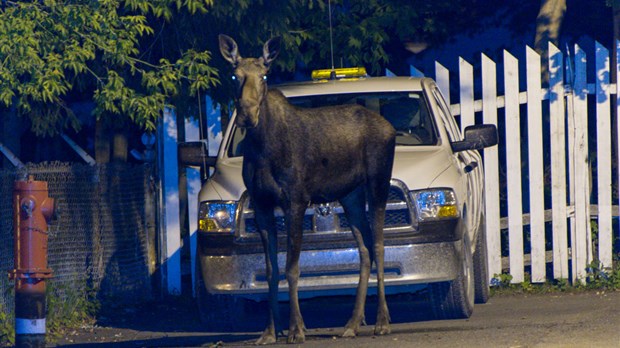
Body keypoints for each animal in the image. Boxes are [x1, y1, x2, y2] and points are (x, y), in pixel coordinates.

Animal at [220, 34, 394, 344]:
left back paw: (382, 322)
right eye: (234, 75)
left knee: (379, 244)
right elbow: (272, 270)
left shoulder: (296, 201)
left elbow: (292, 268)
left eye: (264, 75)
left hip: (378, 183)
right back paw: (352, 323)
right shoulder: (262, 204)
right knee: (364, 249)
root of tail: (391, 128)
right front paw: (269, 332)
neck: (262, 147)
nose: (247, 115)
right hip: (351, 195)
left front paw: (296, 329)